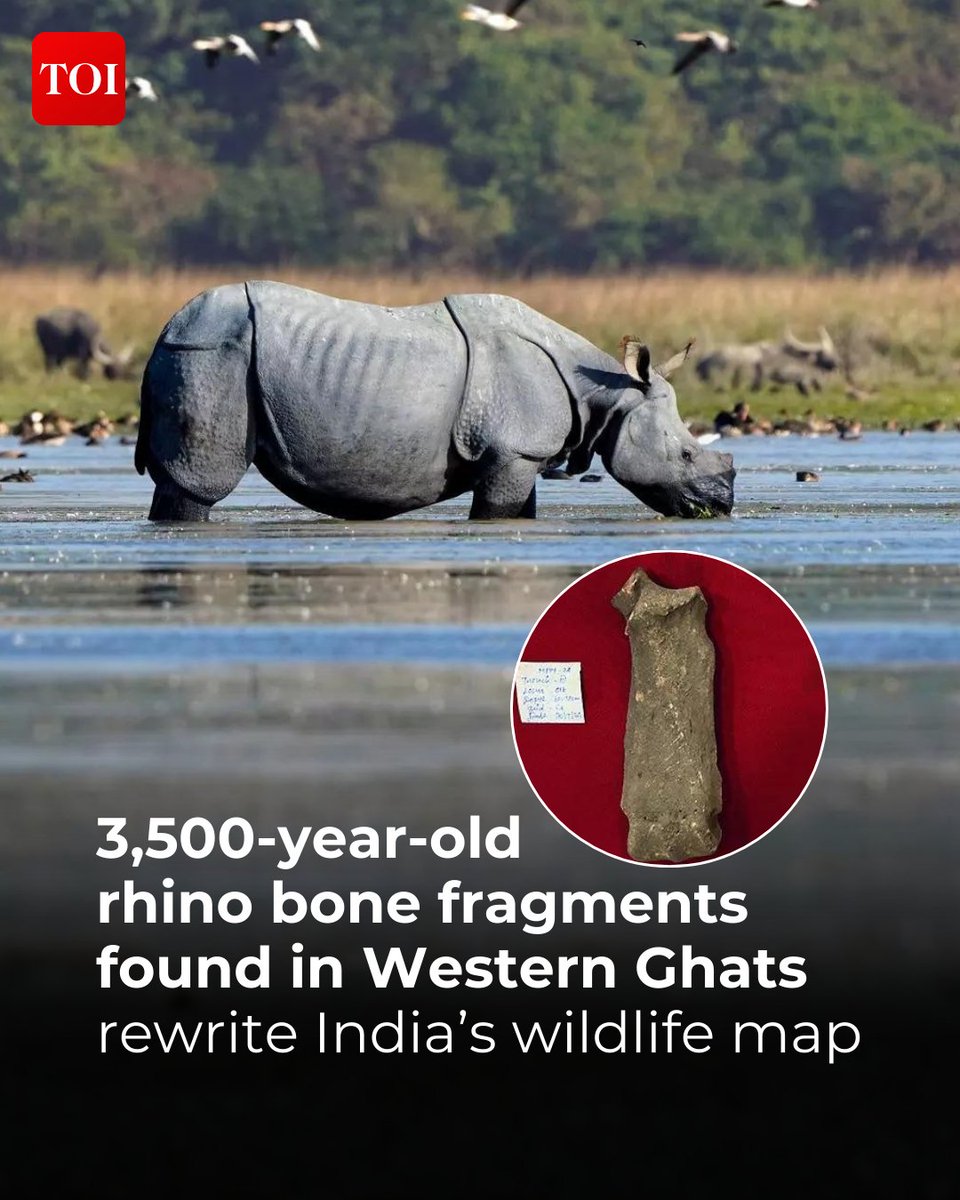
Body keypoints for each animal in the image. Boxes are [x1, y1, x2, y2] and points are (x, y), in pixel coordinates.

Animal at [135, 282, 735, 522]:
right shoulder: (513, 451)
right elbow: (494, 513)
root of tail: (165, 329)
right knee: (197, 484)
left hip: (199, 351)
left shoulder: (518, 455)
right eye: (684, 455)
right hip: (211, 355)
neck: (606, 393)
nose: (723, 504)